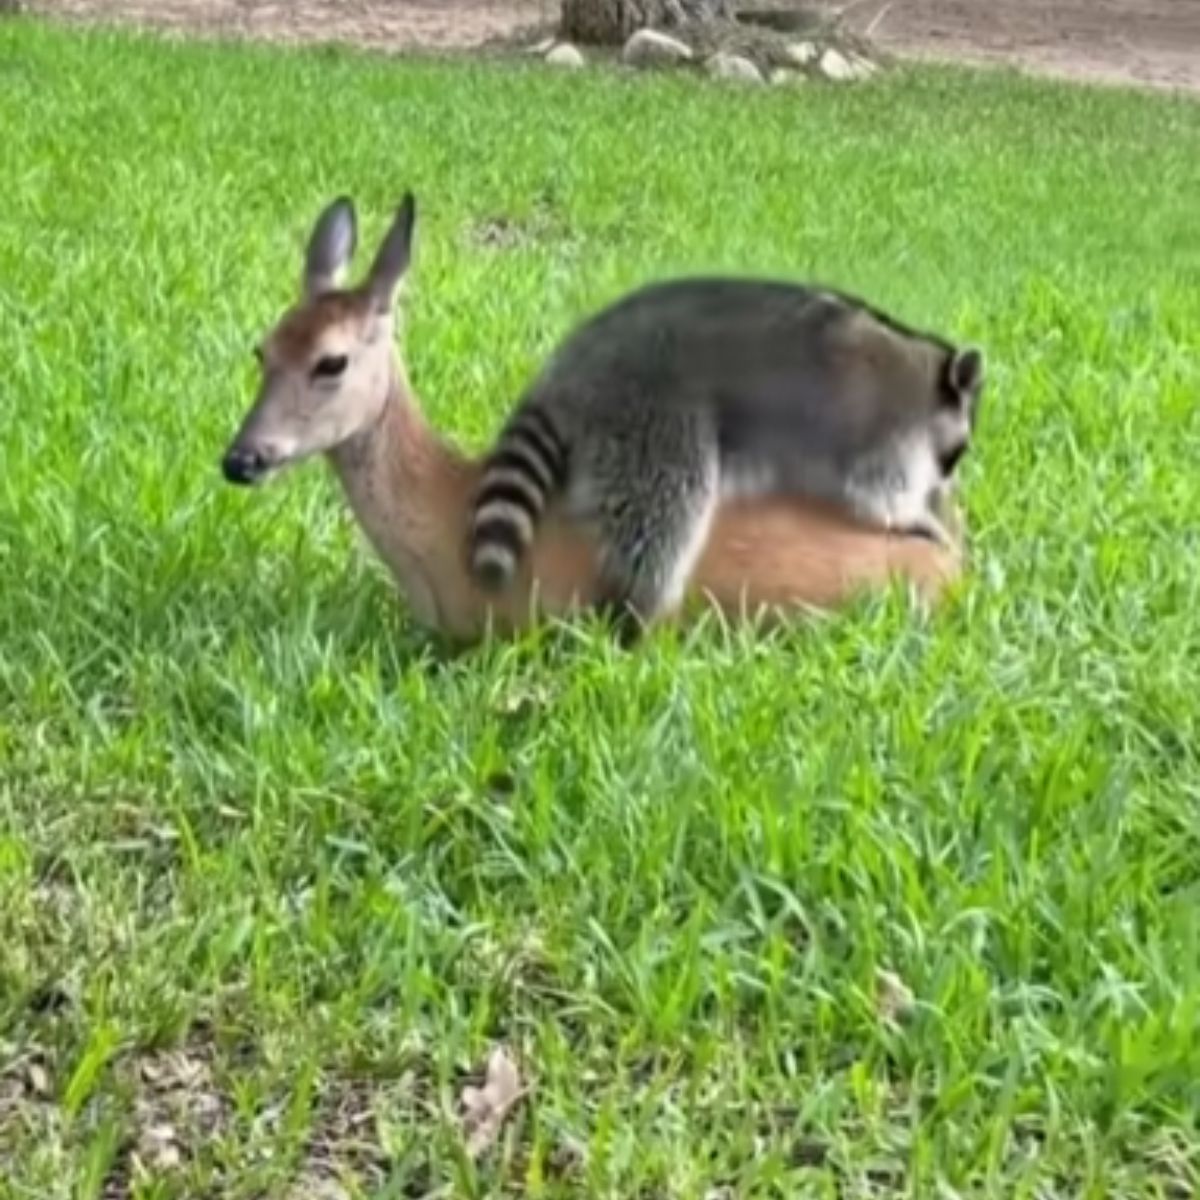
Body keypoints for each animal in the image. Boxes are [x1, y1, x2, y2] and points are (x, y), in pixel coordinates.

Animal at [468, 277, 984, 638]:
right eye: (957, 452)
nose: (948, 483)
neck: (923, 369)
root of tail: (570, 366)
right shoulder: (877, 426)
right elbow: (875, 493)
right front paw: (920, 517)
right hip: (649, 411)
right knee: (668, 509)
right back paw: (643, 609)